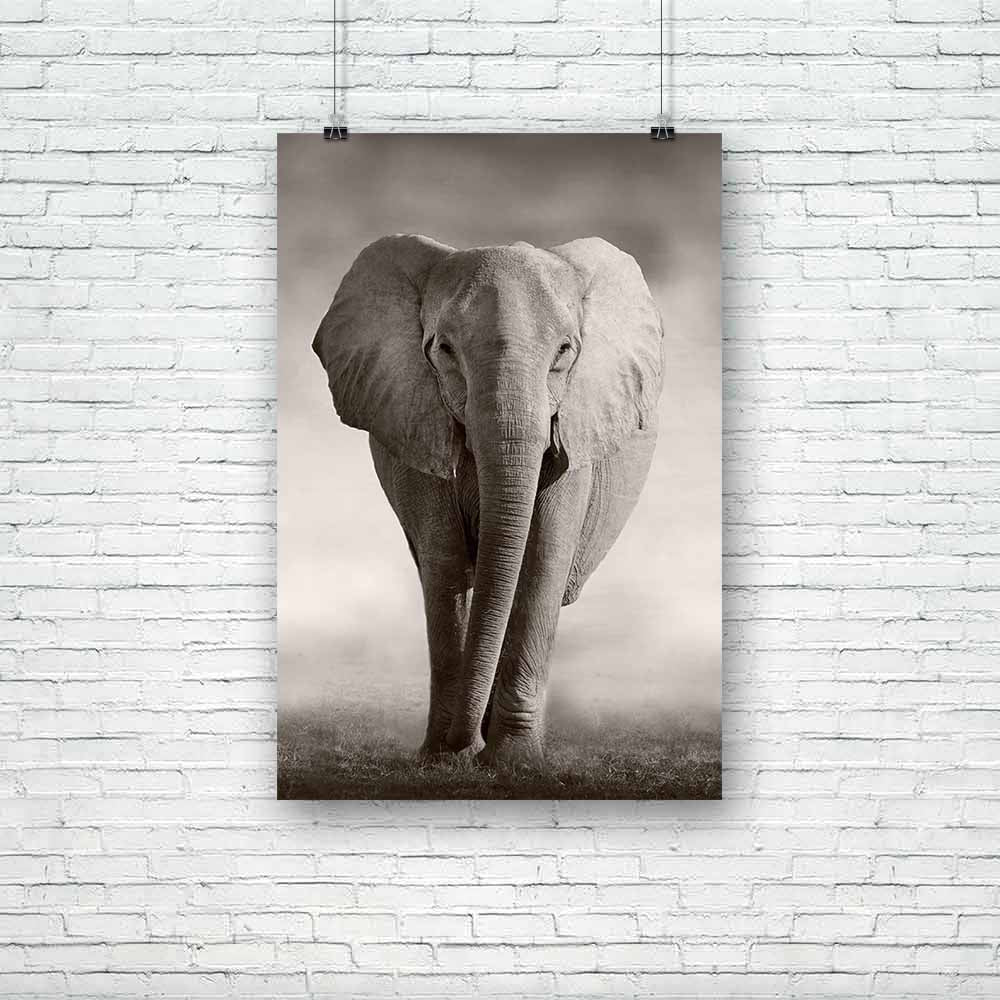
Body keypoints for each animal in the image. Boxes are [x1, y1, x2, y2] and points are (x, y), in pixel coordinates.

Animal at [312, 234, 663, 769]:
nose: (464, 746)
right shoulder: (416, 423)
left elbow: (541, 559)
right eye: (444, 349)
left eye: (565, 351)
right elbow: (445, 561)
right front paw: (445, 758)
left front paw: (514, 763)